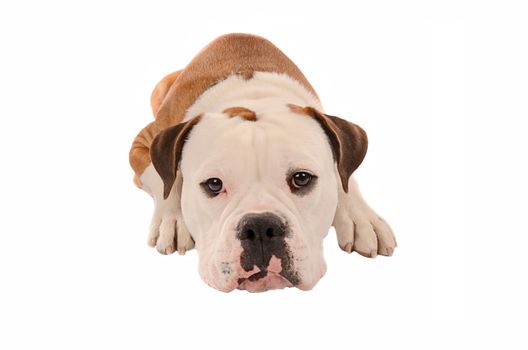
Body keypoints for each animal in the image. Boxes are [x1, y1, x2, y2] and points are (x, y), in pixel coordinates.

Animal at [129, 33, 396, 292]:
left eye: (302, 178)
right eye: (214, 184)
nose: (260, 227)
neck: (252, 99)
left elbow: (344, 176)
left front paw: (362, 218)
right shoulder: (143, 144)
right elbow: (165, 179)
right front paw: (172, 220)